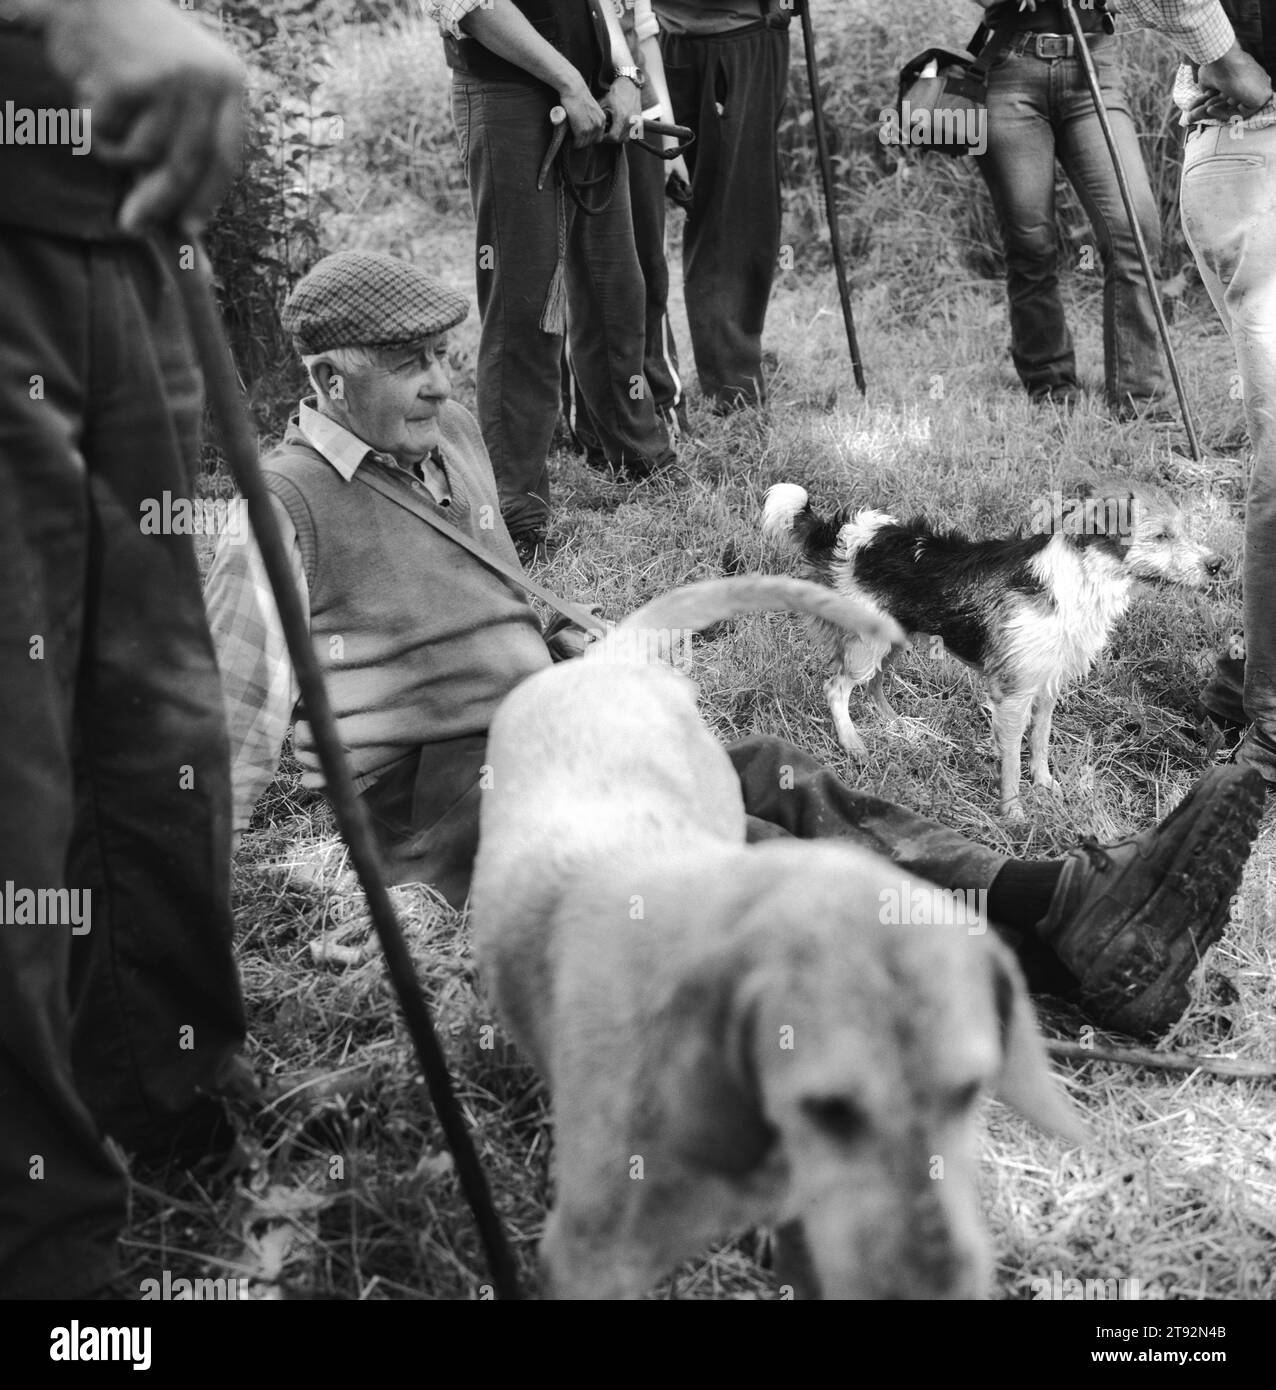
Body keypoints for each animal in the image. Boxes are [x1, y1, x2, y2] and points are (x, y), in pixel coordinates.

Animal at [761, 483, 1228, 817]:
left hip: (894, 640)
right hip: (866, 646)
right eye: (1161, 536)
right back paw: (852, 743)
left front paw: (1046, 786)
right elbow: (1011, 762)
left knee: (877, 683)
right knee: (837, 687)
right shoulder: (1014, 694)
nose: (1218, 565)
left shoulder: (1047, 686)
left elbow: (1040, 743)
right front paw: (1014, 813)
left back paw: (900, 727)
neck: (1079, 582)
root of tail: (849, 533)